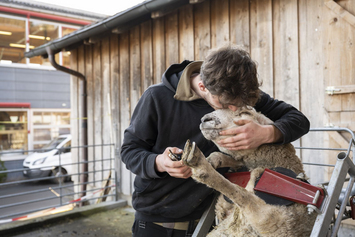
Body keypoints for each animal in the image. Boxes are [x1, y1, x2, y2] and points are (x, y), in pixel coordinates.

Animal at [182, 108, 318, 237]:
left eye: (245, 112)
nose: (204, 119)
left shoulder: (271, 219)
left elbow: (239, 193)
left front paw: (201, 166)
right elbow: (236, 163)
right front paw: (212, 160)